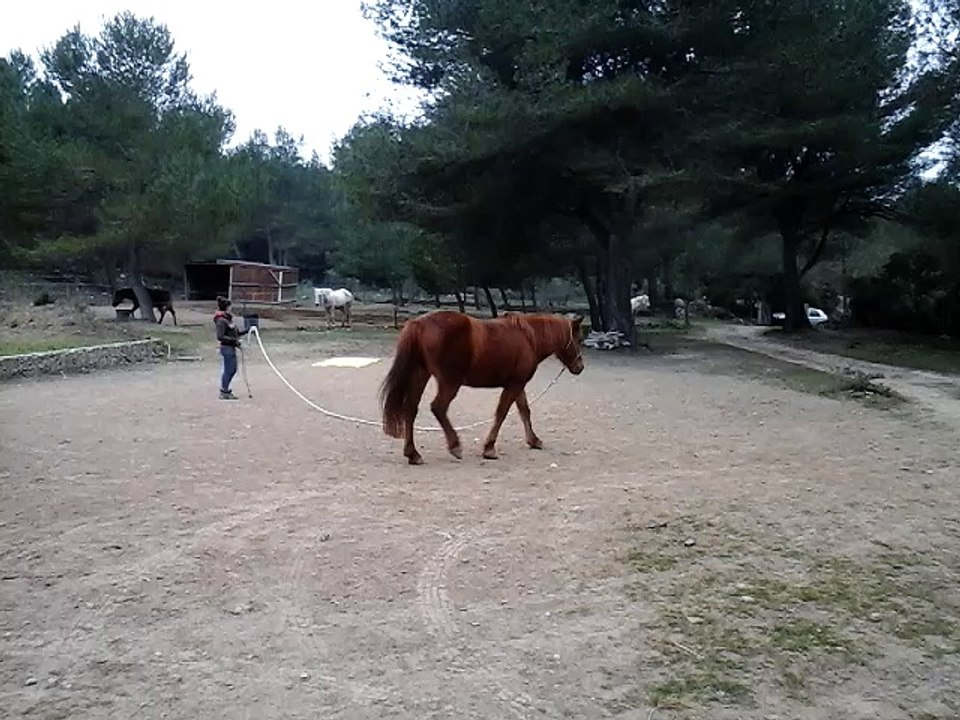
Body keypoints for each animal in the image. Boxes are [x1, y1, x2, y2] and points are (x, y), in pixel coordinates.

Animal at [379, 310, 585, 465]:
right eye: (578, 339)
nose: (580, 367)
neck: (528, 338)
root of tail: (419, 324)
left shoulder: (517, 384)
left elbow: (524, 411)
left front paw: (534, 441)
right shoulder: (514, 384)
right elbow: (502, 413)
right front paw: (489, 448)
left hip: (420, 375)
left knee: (410, 410)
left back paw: (413, 454)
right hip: (449, 382)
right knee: (438, 407)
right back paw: (455, 446)